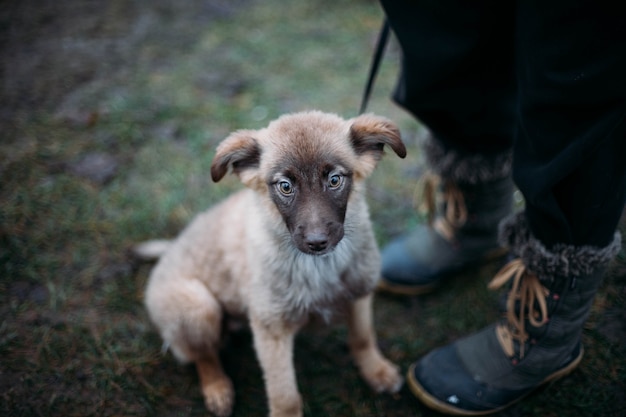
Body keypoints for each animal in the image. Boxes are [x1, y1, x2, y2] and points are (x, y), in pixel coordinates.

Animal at [140, 110, 404, 416]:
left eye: (335, 180)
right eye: (285, 186)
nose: (317, 242)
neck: (318, 267)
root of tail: (169, 249)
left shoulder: (360, 292)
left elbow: (362, 337)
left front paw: (376, 371)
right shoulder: (271, 328)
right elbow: (284, 393)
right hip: (198, 308)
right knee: (203, 356)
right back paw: (218, 389)